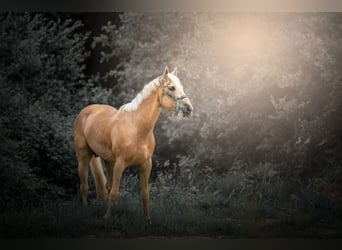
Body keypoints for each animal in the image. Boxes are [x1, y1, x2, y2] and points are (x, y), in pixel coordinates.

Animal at [73, 66, 192, 221]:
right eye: (172, 87)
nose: (189, 108)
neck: (136, 128)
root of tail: (86, 111)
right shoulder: (120, 164)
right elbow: (115, 193)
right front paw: (107, 217)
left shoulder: (146, 164)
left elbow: (145, 194)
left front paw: (147, 219)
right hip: (84, 157)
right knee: (85, 186)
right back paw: (86, 210)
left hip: (108, 161)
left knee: (107, 186)